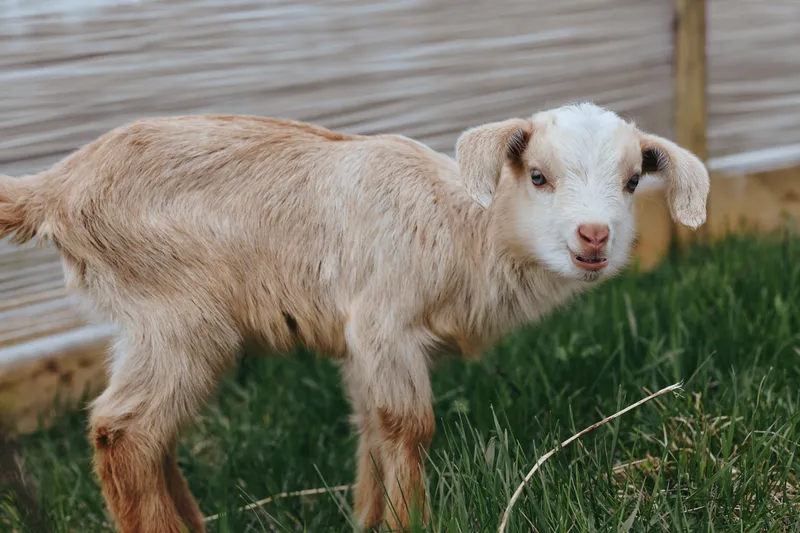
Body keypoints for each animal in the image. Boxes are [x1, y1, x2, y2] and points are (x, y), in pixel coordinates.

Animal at [0, 103, 709, 532]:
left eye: (632, 181)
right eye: (538, 175)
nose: (594, 237)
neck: (466, 230)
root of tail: (53, 189)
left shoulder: (363, 343)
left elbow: (371, 425)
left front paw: (370, 518)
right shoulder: (384, 320)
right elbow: (409, 426)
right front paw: (411, 521)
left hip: (147, 322)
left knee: (142, 434)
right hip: (180, 313)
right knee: (124, 430)